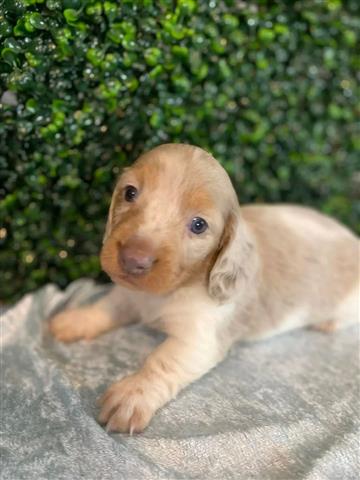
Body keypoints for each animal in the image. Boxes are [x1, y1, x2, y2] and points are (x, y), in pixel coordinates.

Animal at [50, 142, 360, 436]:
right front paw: (77, 320)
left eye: (198, 225)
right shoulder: (129, 296)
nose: (132, 260)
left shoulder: (200, 338)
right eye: (130, 193)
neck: (165, 293)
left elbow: (162, 361)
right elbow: (106, 307)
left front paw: (133, 394)